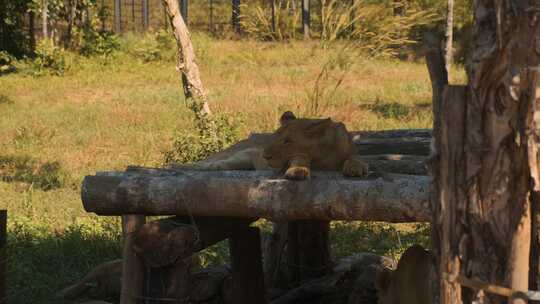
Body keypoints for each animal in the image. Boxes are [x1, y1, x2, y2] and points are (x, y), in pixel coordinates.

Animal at [171, 111, 370, 178]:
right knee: (204, 164)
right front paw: (298, 171)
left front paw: (354, 168)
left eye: (288, 141)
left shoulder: (352, 151)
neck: (323, 155)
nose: (265, 156)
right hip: (231, 157)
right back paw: (174, 166)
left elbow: (355, 158)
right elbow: (299, 159)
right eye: (274, 138)